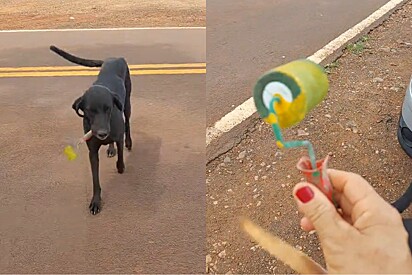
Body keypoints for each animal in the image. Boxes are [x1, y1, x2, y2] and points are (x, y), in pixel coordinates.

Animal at [50, 45, 132, 216]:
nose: (102, 133)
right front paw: (95, 202)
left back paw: (128, 142)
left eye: (108, 108)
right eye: (89, 110)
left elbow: (121, 156)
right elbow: (95, 179)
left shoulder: (117, 135)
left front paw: (120, 167)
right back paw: (110, 148)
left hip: (127, 103)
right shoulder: (92, 152)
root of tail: (113, 58)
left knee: (128, 123)